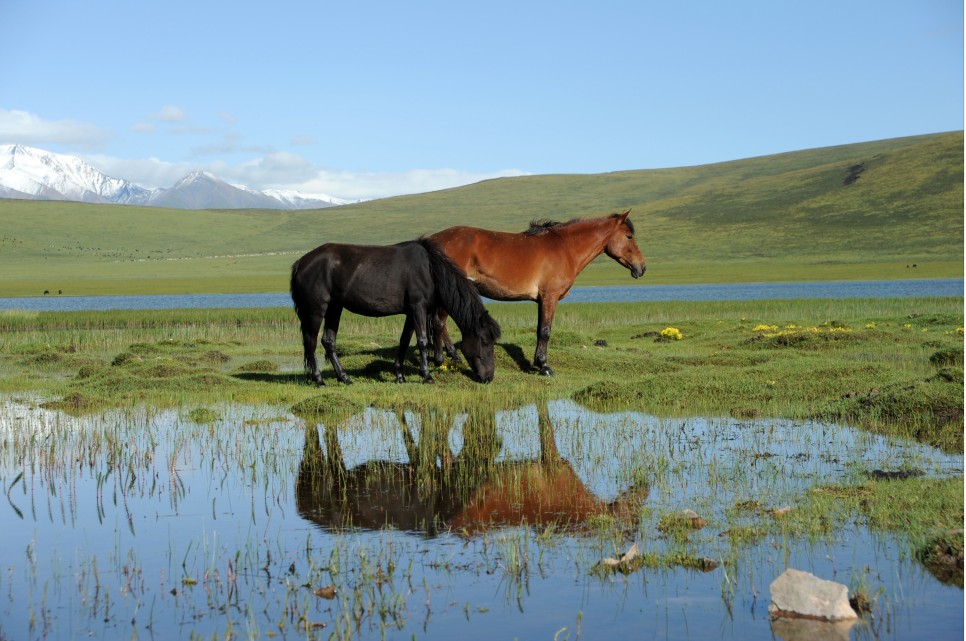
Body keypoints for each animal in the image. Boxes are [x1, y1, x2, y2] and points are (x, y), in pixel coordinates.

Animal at [292, 236, 502, 382]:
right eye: (485, 341)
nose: (489, 377)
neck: (429, 270)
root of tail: (302, 262)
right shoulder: (418, 308)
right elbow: (422, 341)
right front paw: (426, 375)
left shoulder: (411, 312)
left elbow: (404, 341)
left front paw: (399, 374)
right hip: (316, 310)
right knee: (311, 342)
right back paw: (319, 379)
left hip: (335, 308)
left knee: (328, 341)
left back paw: (344, 378)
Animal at [430, 210, 644, 376]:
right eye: (629, 236)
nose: (642, 267)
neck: (565, 248)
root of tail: (433, 240)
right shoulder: (550, 297)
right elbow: (545, 331)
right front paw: (544, 366)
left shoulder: (541, 300)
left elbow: (540, 328)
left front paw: (537, 362)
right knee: (439, 323)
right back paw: (440, 360)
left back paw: (453, 356)